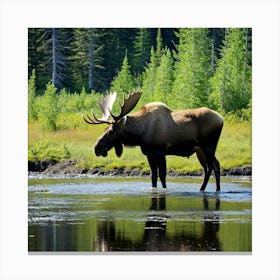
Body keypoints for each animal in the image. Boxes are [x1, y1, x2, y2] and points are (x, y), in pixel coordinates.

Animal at [83, 91, 223, 191]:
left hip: (209, 146)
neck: (140, 134)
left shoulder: (160, 152)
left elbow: (162, 176)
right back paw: (204, 189)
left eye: (111, 131)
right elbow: (153, 176)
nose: (97, 148)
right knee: (208, 168)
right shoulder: (149, 154)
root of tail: (221, 119)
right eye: (105, 128)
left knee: (214, 166)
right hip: (200, 150)